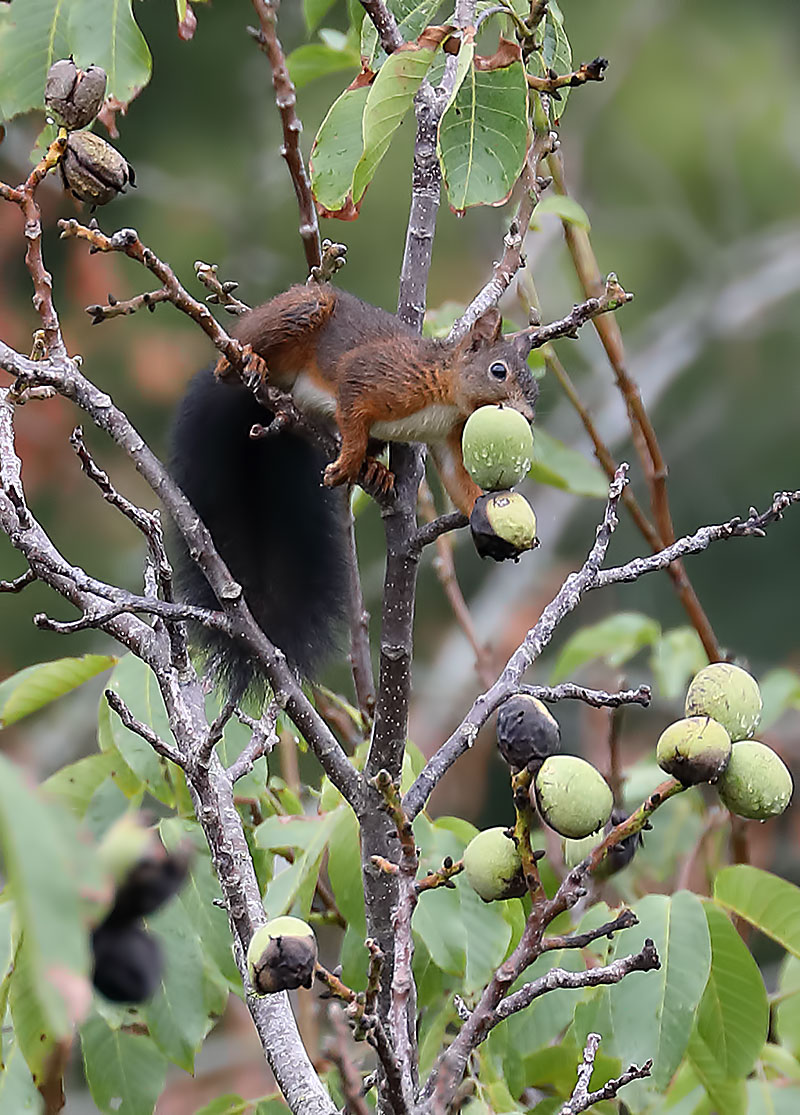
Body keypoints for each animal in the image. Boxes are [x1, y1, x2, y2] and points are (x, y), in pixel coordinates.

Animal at [171, 287, 540, 686]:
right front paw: (347, 461)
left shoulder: (448, 438)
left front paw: (485, 520)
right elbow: (352, 402)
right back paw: (248, 362)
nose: (527, 417)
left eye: (534, 387)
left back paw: (375, 469)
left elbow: (459, 481)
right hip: (301, 309)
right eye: (498, 371)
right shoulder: (377, 375)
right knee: (231, 368)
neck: (447, 398)